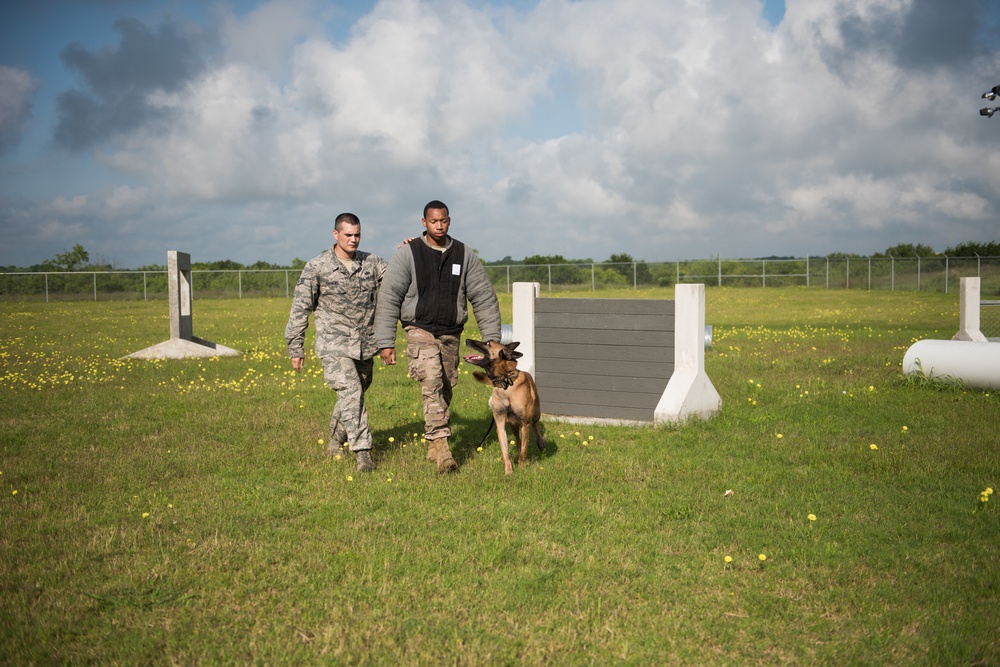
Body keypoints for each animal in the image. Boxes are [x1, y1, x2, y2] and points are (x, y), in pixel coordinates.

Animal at [462, 340, 544, 474]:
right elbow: (505, 452)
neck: (505, 383)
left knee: (535, 424)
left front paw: (522, 467)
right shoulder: (500, 424)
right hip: (513, 425)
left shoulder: (525, 423)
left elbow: (524, 450)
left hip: (536, 413)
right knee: (518, 440)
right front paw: (509, 471)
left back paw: (540, 442)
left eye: (488, 343)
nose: (467, 340)